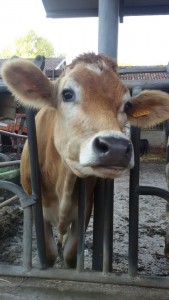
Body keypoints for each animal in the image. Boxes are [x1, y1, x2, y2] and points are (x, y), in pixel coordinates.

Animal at [1, 53, 169, 268]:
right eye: (67, 94)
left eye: (127, 105)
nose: (116, 147)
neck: (61, 181)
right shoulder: (38, 212)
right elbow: (49, 254)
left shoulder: (84, 209)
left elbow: (71, 255)